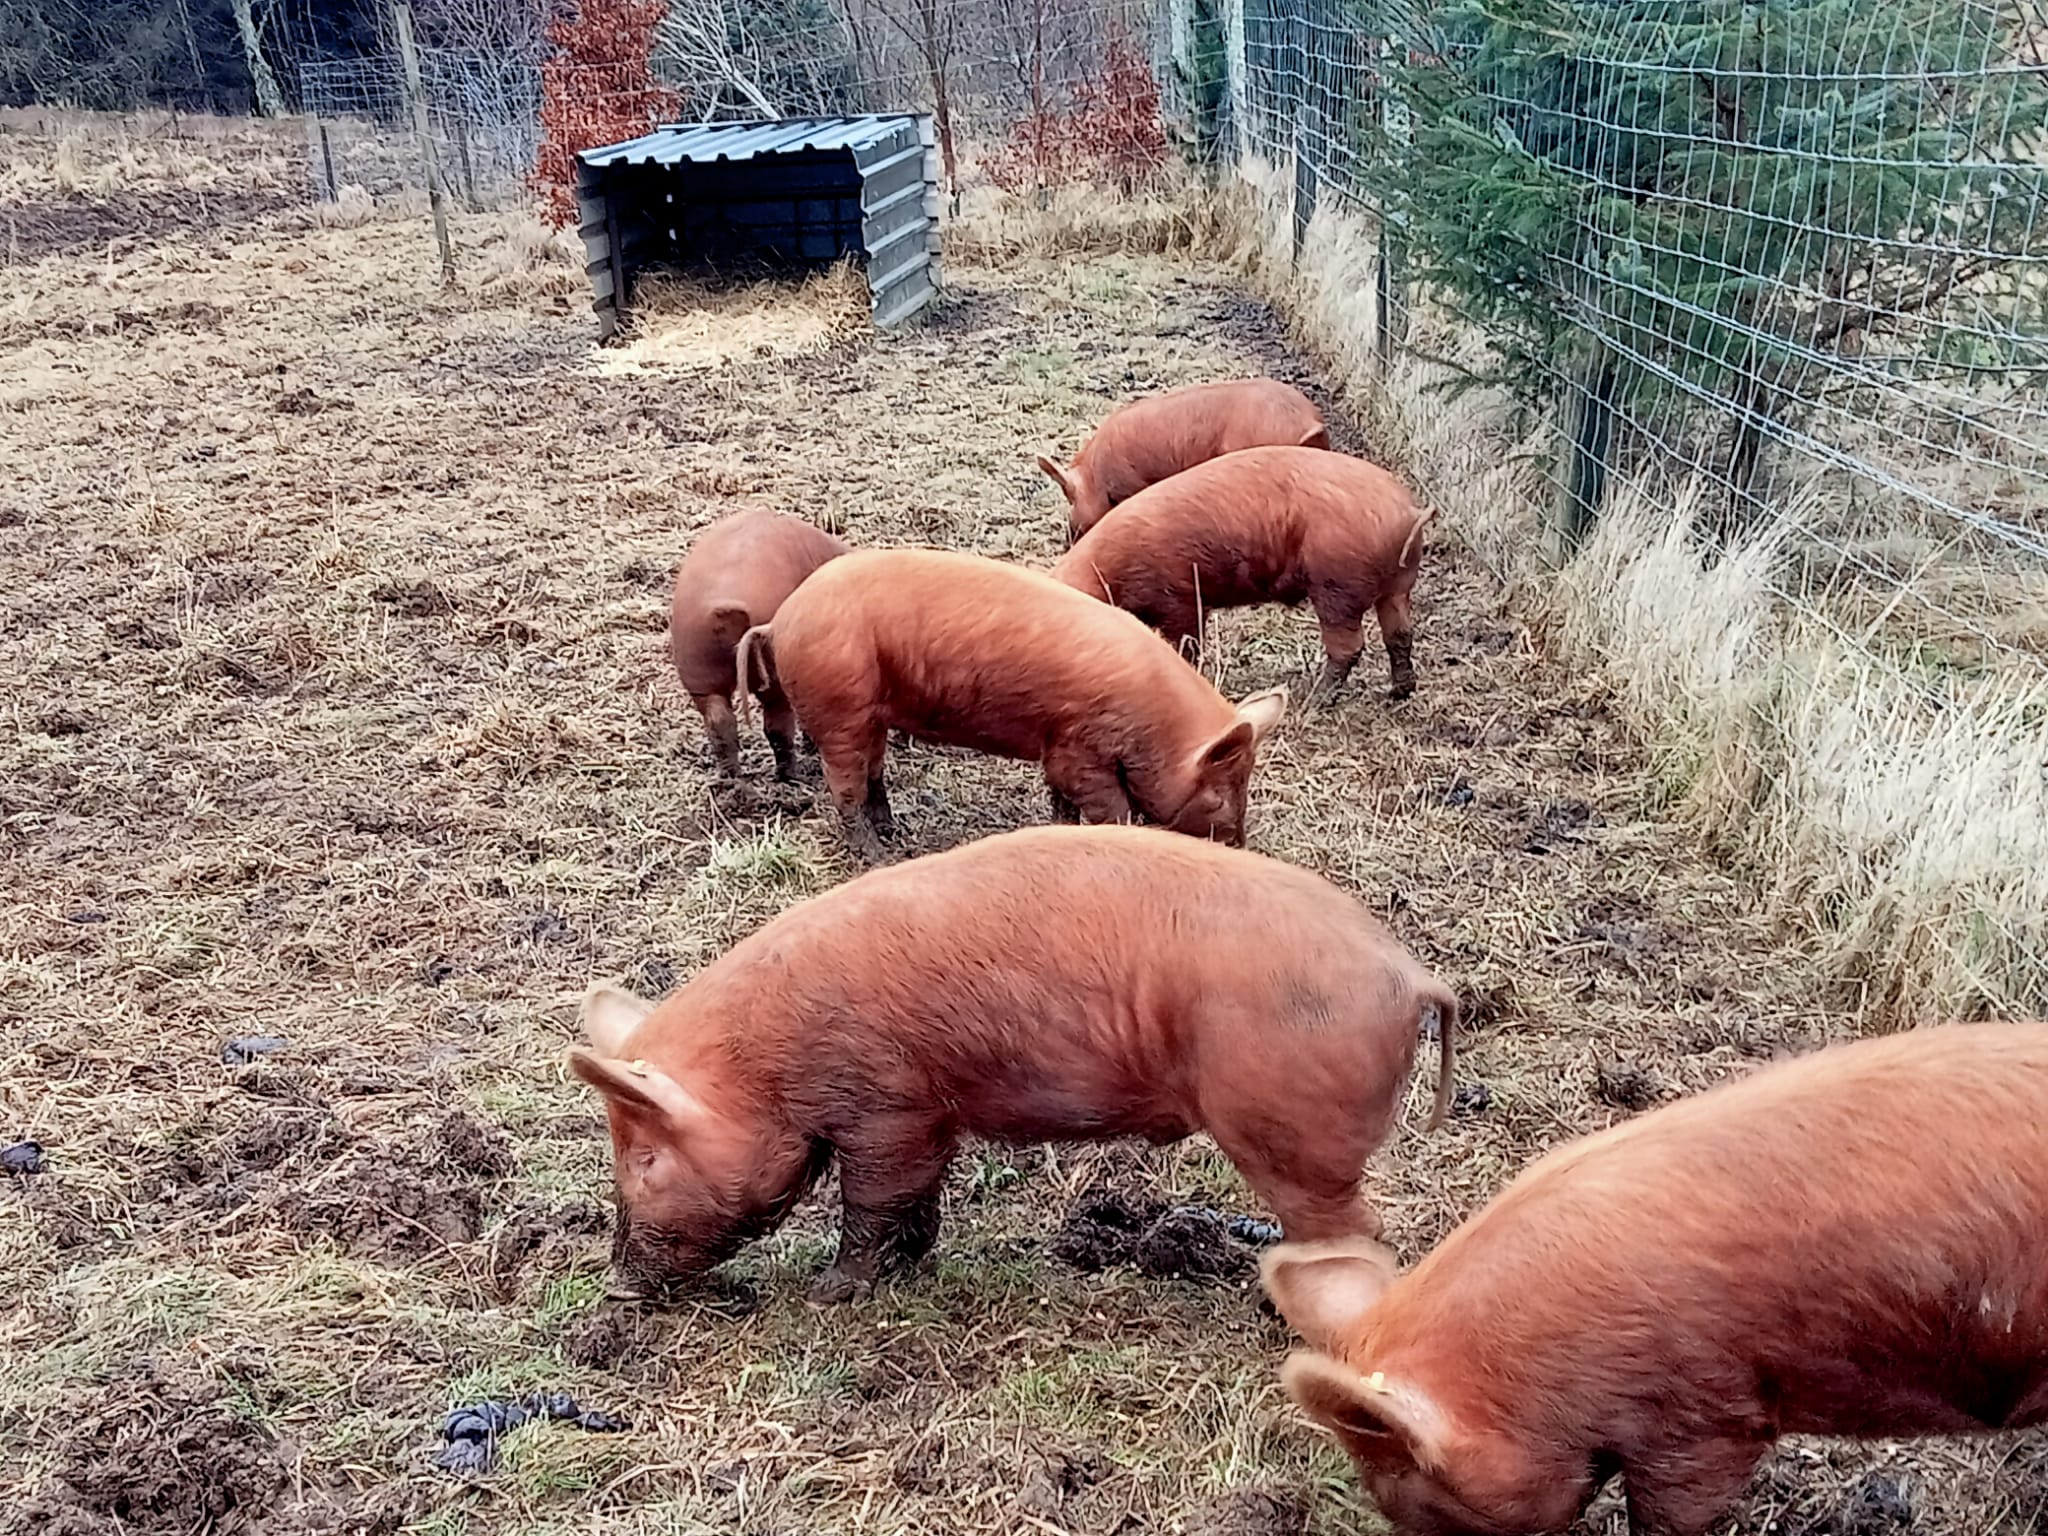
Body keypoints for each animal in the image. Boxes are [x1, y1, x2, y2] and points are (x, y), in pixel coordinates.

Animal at [569, 822, 1459, 1303]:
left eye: (645, 1157)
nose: (613, 1284)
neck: (768, 1066)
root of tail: (1409, 975)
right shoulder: (927, 1116)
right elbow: (916, 1199)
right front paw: (912, 1267)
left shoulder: (885, 1107)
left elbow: (872, 1202)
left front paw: (833, 1292)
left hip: (1293, 1133)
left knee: (1353, 1230)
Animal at [668, 508, 849, 780]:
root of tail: (725, 609)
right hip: (771, 673)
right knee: (777, 725)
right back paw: (790, 777)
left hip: (697, 670)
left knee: (719, 723)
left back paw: (733, 780)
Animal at [735, 548, 1288, 860]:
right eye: (1217, 798)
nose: (1239, 846)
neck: (1153, 730)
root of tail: (779, 622)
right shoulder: (1082, 749)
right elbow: (1108, 808)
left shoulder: (1057, 747)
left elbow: (1060, 799)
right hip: (839, 709)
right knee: (845, 788)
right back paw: (877, 857)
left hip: (868, 713)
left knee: (872, 774)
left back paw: (895, 832)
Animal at [1052, 445, 1434, 703]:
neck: (1110, 570)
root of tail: (1407, 511)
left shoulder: (1180, 595)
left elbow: (1188, 644)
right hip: (1397, 586)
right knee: (1400, 635)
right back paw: (1399, 693)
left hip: (1337, 586)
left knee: (1350, 646)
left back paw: (1312, 699)